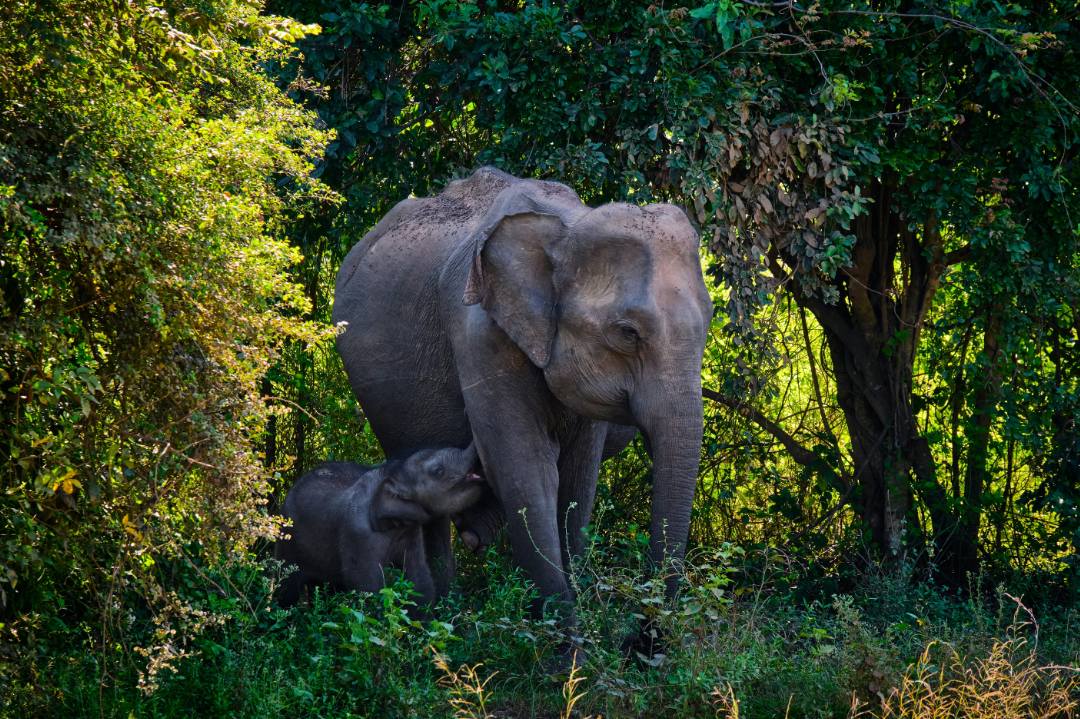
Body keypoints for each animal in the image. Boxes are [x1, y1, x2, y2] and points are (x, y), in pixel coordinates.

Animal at [276, 442, 483, 604]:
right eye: (438, 471)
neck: (392, 474)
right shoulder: (357, 534)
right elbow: (368, 584)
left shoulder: (410, 529)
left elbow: (418, 576)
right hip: (288, 538)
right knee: (286, 586)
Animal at [332, 166, 712, 617]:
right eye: (627, 332)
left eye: (709, 322)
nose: (652, 627)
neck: (567, 226)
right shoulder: (480, 335)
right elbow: (526, 468)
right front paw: (562, 629)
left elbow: (577, 479)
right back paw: (442, 611)